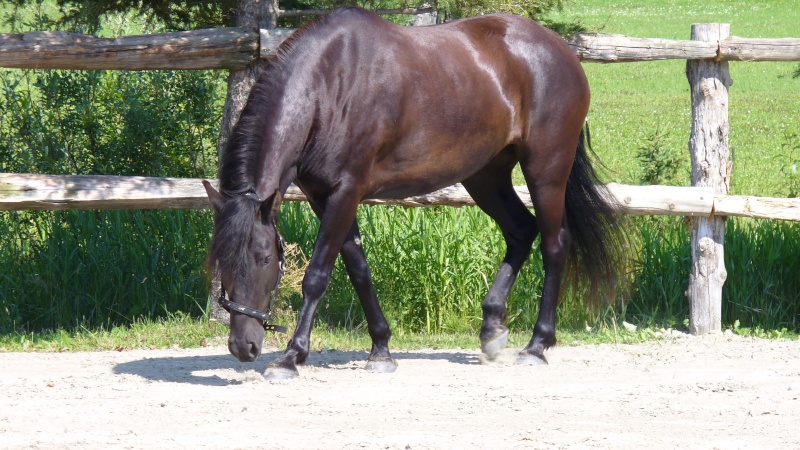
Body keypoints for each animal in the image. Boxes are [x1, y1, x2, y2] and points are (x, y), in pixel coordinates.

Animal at [202, 7, 624, 380]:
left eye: (263, 259)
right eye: (221, 260)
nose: (243, 347)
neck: (330, 85)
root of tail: (560, 49)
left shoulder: (346, 191)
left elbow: (318, 275)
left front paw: (291, 357)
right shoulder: (324, 196)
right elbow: (358, 268)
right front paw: (381, 349)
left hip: (546, 170)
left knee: (555, 244)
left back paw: (537, 346)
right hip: (485, 175)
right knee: (521, 231)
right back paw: (491, 329)